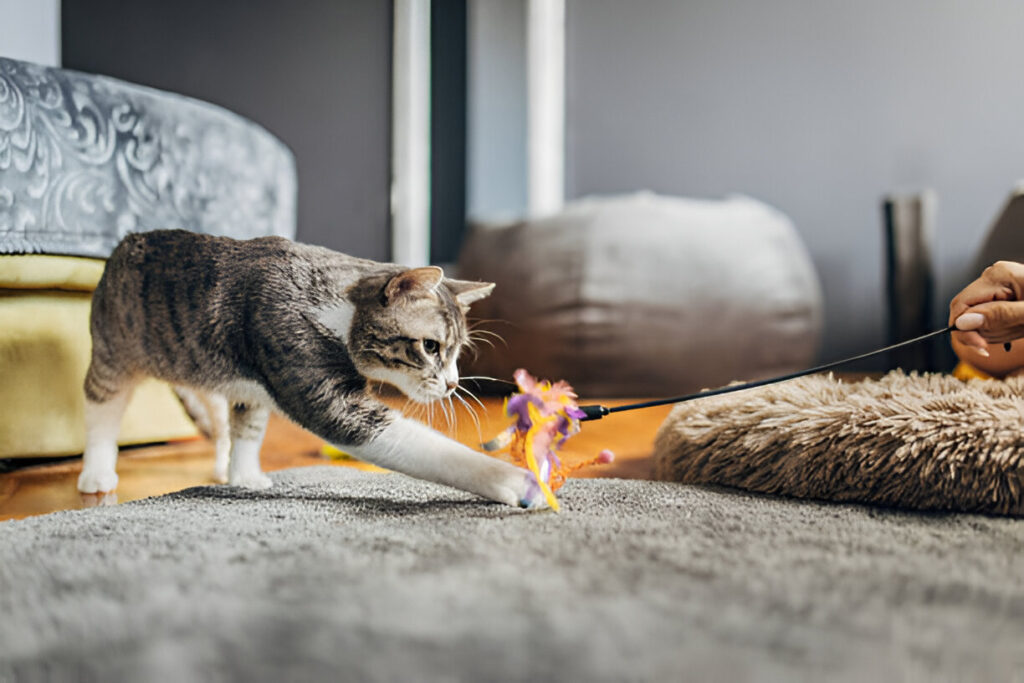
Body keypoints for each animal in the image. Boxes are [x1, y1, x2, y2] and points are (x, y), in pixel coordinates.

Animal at [76, 229, 544, 507]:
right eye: (430, 347)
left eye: (458, 351)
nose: (451, 385)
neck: (337, 307)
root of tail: (126, 240)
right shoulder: (305, 365)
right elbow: (421, 446)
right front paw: (518, 481)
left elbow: (250, 426)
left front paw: (245, 476)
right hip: (113, 348)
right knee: (102, 408)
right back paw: (97, 473)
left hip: (216, 373)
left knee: (230, 419)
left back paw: (234, 470)